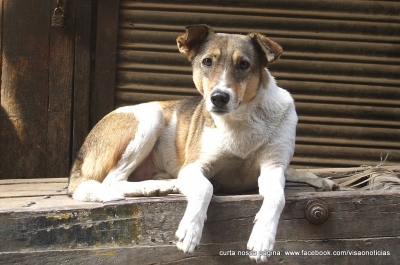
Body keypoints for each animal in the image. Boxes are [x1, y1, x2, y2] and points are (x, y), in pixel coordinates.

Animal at [68, 25, 296, 262]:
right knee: (112, 181)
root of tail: (80, 157)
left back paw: (165, 184)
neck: (240, 119)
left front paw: (263, 237)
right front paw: (190, 230)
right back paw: (152, 186)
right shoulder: (193, 167)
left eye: (244, 64)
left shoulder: (273, 167)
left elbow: (277, 196)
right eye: (207, 62)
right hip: (152, 114)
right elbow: (205, 188)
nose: (219, 98)